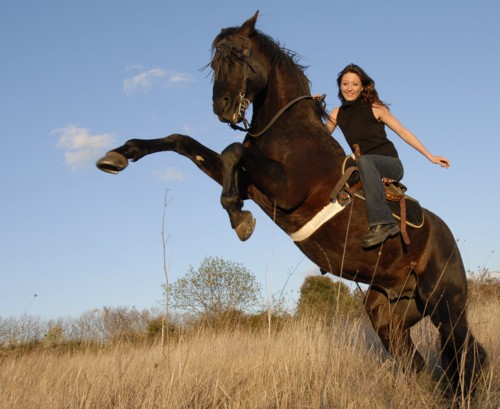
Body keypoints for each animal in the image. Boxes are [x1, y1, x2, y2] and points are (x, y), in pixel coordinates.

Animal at [96, 11, 484, 398]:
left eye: (241, 53)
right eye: (213, 62)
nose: (222, 107)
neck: (285, 130)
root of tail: (448, 237)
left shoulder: (286, 190)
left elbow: (232, 151)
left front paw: (238, 218)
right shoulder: (251, 183)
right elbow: (186, 142)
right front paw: (118, 155)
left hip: (444, 304)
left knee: (465, 352)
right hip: (391, 311)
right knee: (417, 360)